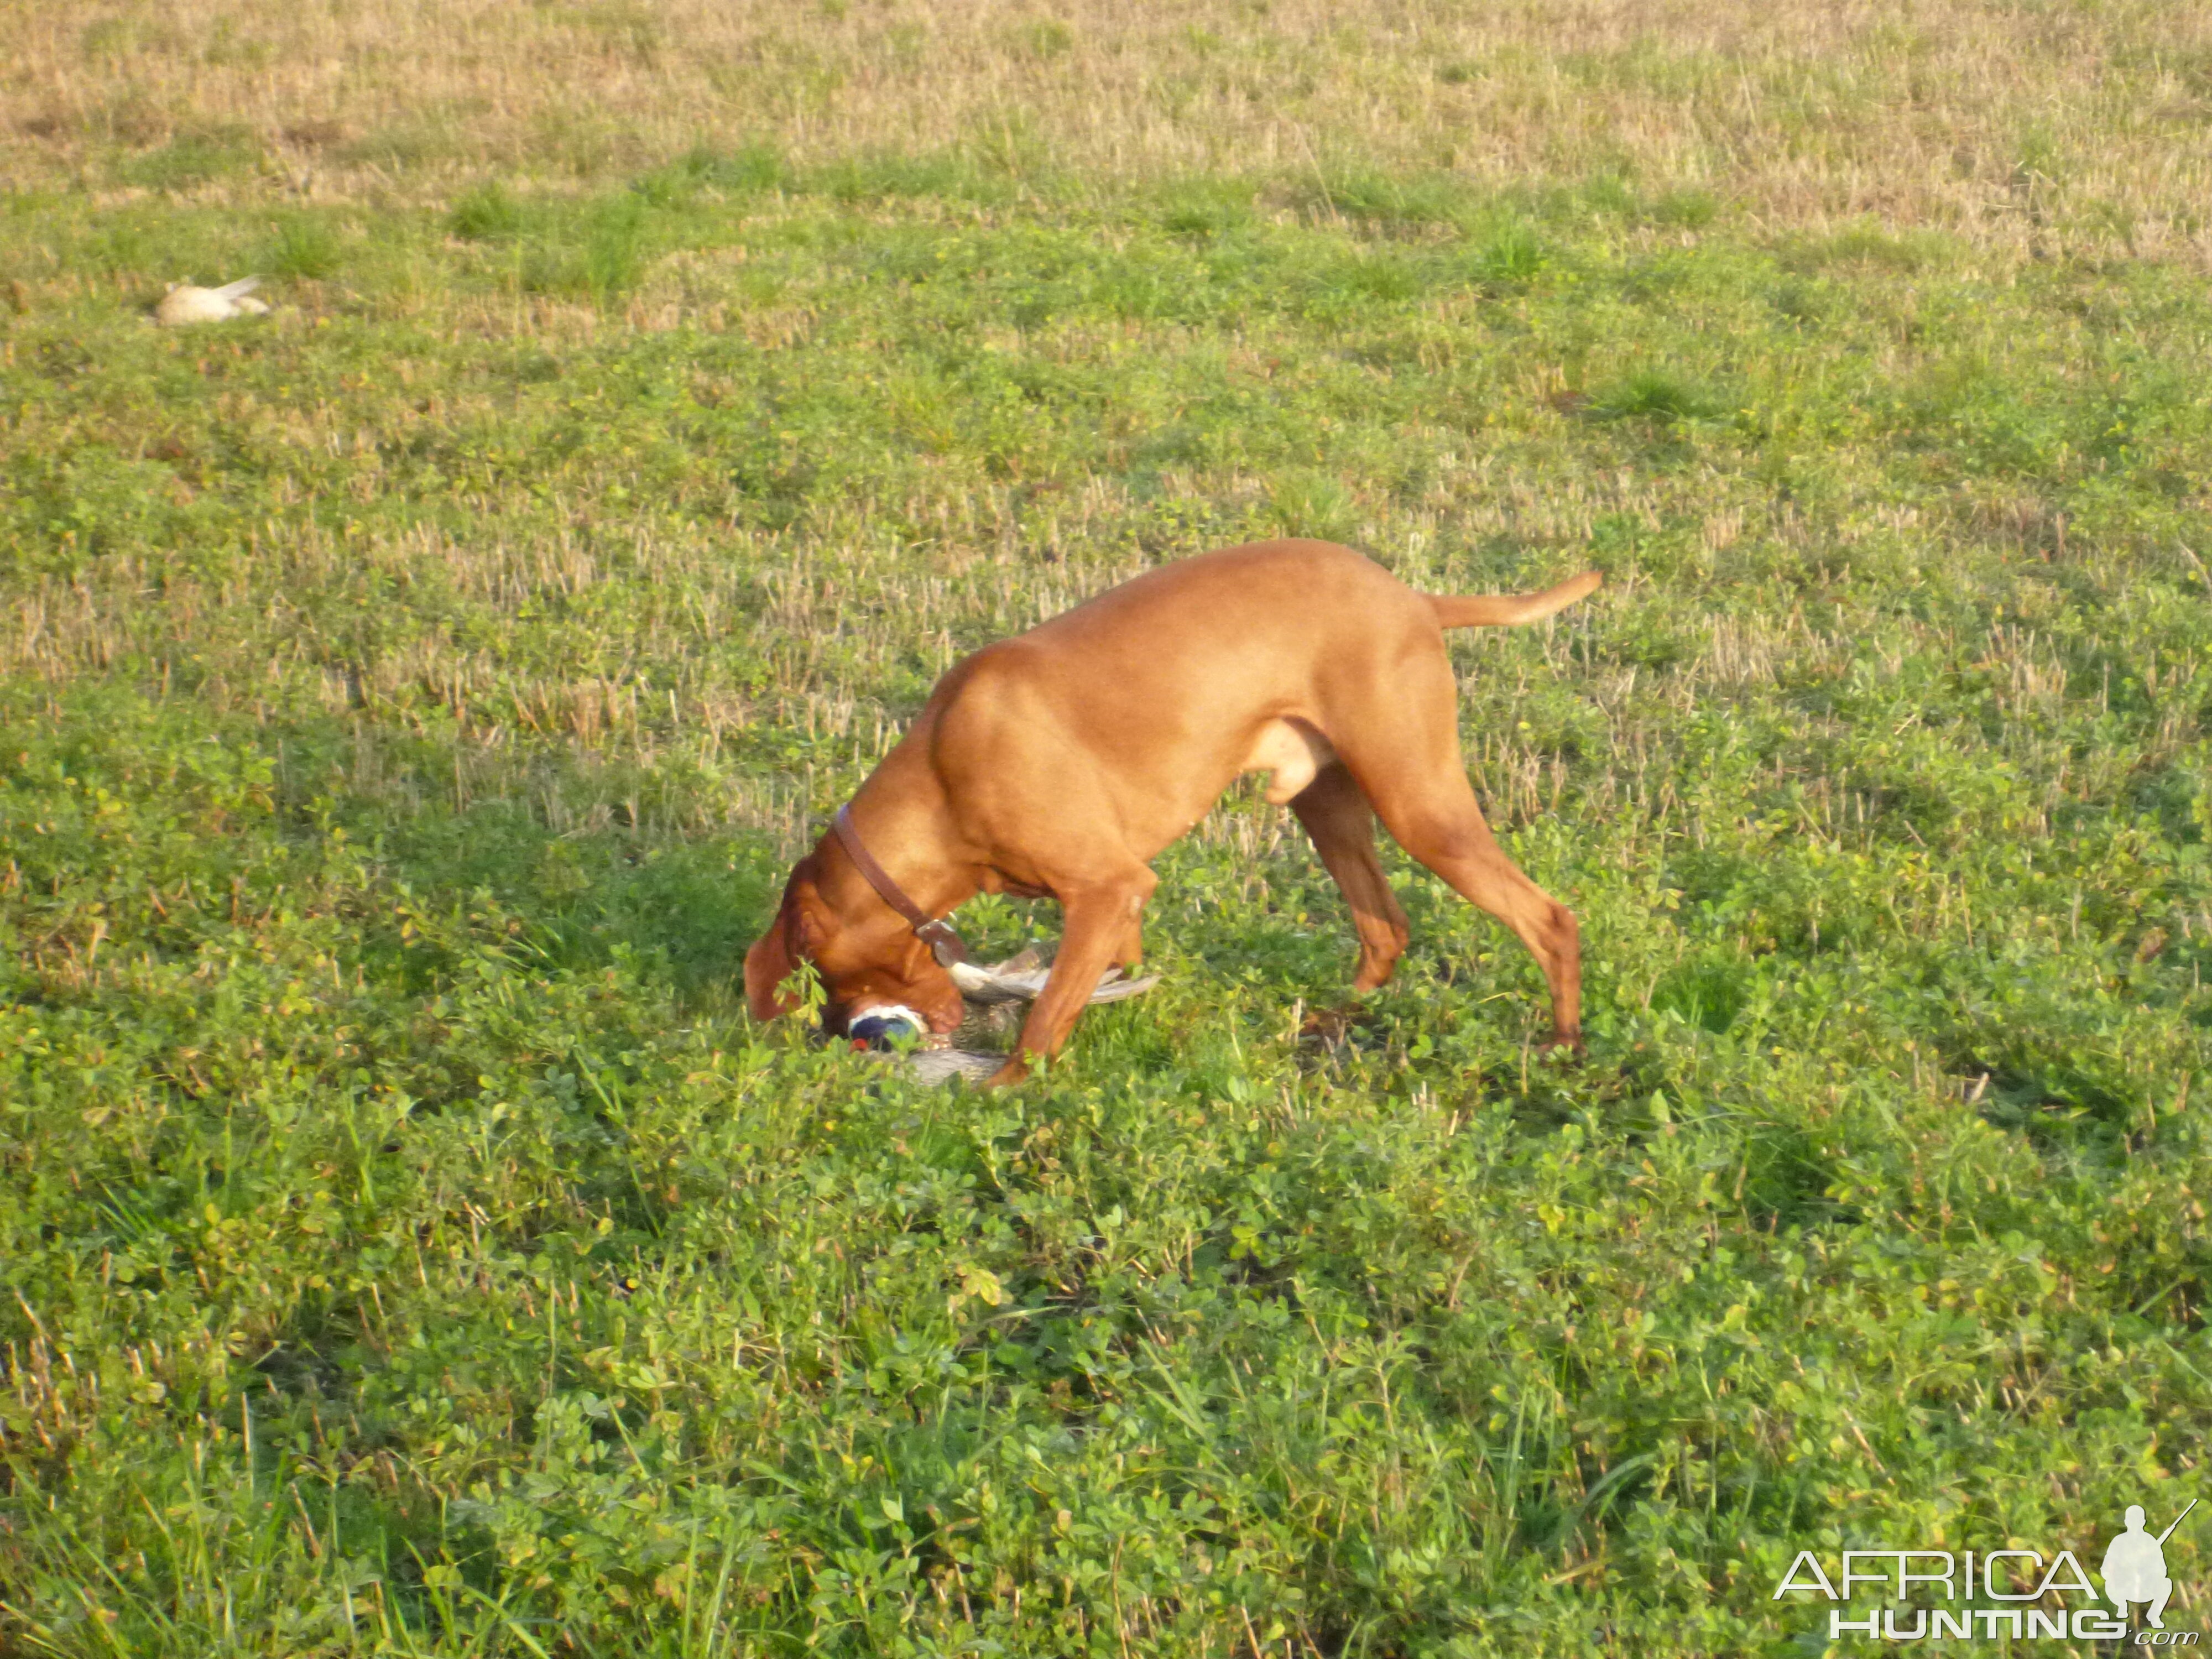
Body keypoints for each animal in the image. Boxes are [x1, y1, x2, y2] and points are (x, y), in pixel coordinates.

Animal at [752, 542, 1601, 1093]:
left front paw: (1002, 1091)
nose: (851, 1038)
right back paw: (1329, 1020)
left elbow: (1044, 1017)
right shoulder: (1114, 904)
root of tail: (1417, 600)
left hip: (1418, 804)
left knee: (1549, 918)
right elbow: (1106, 976)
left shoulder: (1108, 886)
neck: (942, 771)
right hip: (1327, 808)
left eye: (826, 979)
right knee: (1386, 927)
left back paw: (1562, 1048)